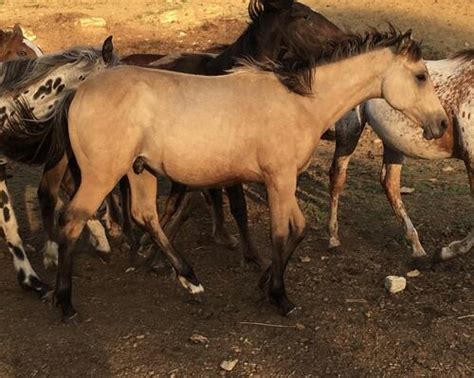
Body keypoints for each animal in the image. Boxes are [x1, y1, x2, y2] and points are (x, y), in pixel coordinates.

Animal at [8, 28, 448, 320]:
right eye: (420, 76)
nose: (441, 125)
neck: (299, 103)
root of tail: (76, 92)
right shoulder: (278, 180)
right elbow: (283, 233)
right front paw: (280, 297)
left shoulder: (281, 182)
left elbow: (298, 230)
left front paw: (264, 284)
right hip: (102, 174)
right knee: (71, 221)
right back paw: (65, 302)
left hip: (139, 170)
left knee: (145, 215)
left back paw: (190, 280)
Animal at [330, 48, 474, 264]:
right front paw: (448, 251)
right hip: (350, 132)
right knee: (337, 177)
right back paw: (333, 239)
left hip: (393, 144)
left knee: (389, 184)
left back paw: (417, 248)